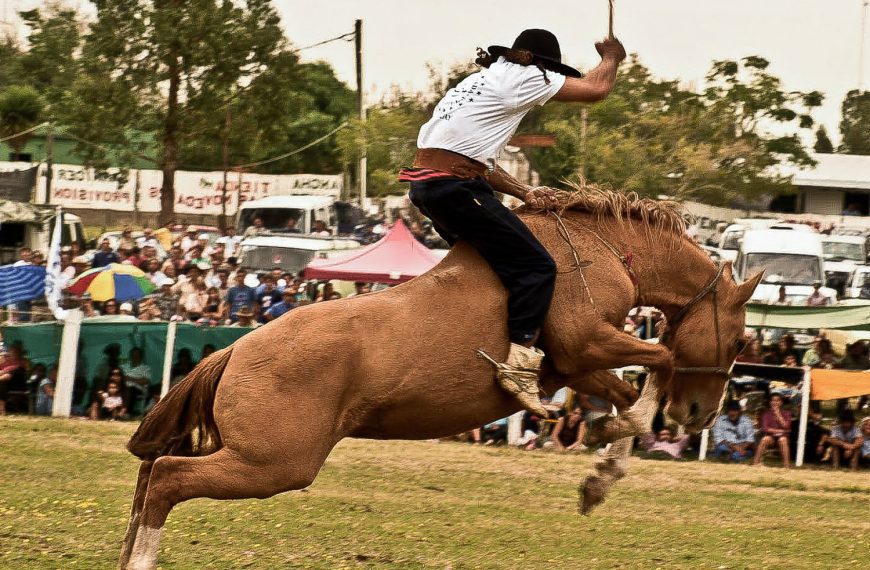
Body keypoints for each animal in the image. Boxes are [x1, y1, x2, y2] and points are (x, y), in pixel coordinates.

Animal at [117, 187, 764, 568]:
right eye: (738, 341)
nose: (699, 415)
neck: (604, 251)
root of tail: (236, 350)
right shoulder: (586, 343)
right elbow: (661, 361)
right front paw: (608, 444)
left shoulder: (575, 364)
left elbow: (629, 392)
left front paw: (600, 473)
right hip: (275, 462)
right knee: (169, 478)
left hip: (258, 456)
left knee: (152, 477)